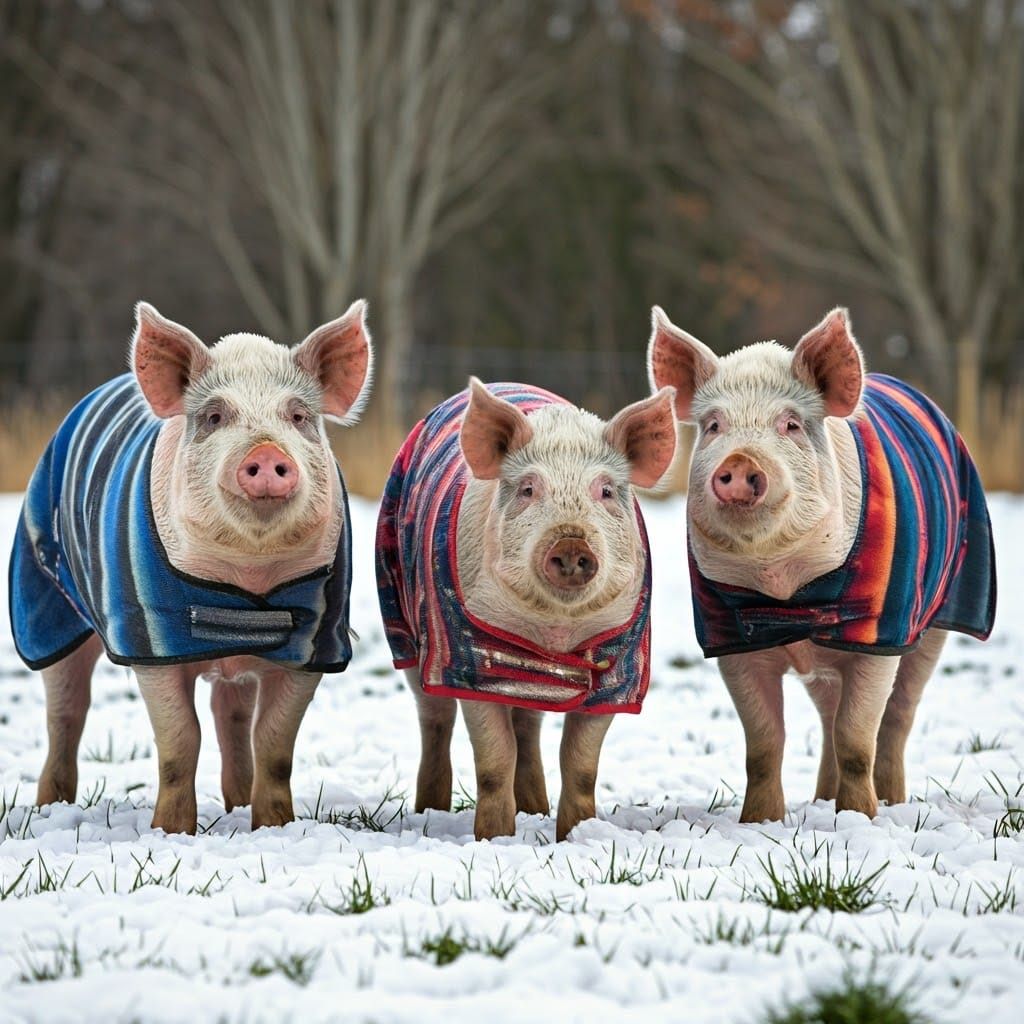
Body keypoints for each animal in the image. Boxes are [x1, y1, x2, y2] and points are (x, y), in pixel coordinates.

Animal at [9, 300, 372, 834]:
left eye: (298, 415)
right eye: (215, 416)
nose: (267, 454)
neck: (246, 589)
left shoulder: (318, 636)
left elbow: (274, 743)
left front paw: (274, 827)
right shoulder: (148, 635)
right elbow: (180, 738)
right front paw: (171, 831)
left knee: (230, 713)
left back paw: (237, 805)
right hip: (44, 600)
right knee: (66, 710)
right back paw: (50, 808)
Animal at [376, 379, 677, 840]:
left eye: (606, 490)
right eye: (528, 489)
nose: (571, 544)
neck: (552, 631)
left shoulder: (621, 664)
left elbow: (581, 764)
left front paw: (577, 834)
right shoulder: (466, 660)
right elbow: (494, 759)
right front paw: (494, 838)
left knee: (528, 725)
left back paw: (535, 809)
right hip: (406, 627)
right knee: (435, 719)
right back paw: (430, 811)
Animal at [648, 307, 996, 822]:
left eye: (791, 424)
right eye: (712, 425)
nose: (738, 463)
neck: (786, 592)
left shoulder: (880, 634)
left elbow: (857, 737)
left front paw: (861, 819)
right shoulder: (730, 640)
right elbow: (763, 744)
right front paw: (760, 821)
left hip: (936, 621)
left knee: (898, 715)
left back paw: (891, 801)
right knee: (829, 714)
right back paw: (820, 801)